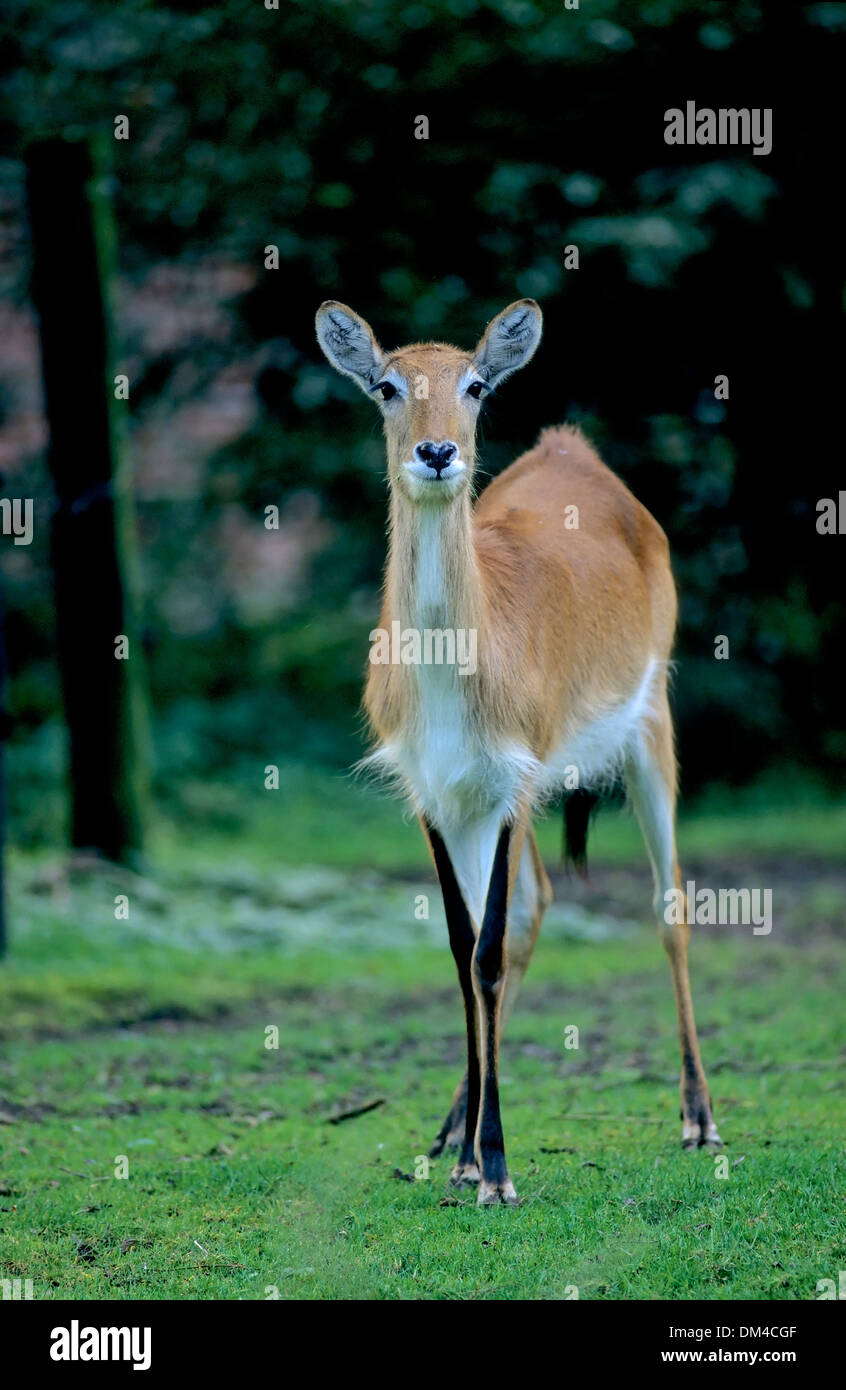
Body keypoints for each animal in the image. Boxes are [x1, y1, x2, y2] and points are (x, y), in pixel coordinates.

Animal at [313, 296, 722, 1206]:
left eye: (475, 385)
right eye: (386, 386)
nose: (438, 452)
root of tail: (573, 449)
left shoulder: (506, 783)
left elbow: (490, 953)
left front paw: (497, 1169)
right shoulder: (438, 795)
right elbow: (465, 949)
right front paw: (467, 1156)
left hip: (651, 733)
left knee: (670, 904)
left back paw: (699, 1120)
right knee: (535, 906)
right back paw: (446, 1132)